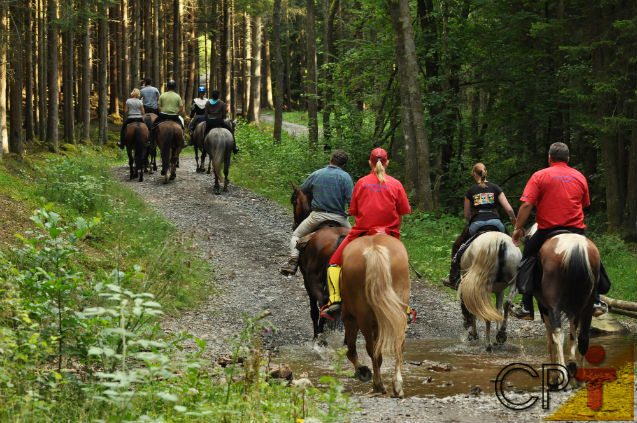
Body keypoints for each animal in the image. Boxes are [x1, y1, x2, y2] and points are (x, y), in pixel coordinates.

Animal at [292, 184, 350, 342]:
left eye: (293, 201)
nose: (294, 225)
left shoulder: (307, 280)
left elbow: (314, 310)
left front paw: (317, 334)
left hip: (314, 279)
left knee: (324, 302)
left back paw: (319, 336)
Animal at [340, 234, 410, 400]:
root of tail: (374, 248)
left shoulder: (349, 318)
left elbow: (352, 350)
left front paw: (362, 371)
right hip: (398, 310)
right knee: (398, 345)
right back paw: (397, 386)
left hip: (362, 317)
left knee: (371, 349)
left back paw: (378, 384)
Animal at [524, 225, 600, 388]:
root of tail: (575, 246)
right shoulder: (574, 310)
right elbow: (573, 336)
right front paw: (571, 366)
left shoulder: (544, 306)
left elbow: (550, 341)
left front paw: (554, 377)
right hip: (587, 304)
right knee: (583, 337)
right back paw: (578, 376)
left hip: (553, 303)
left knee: (557, 335)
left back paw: (562, 377)